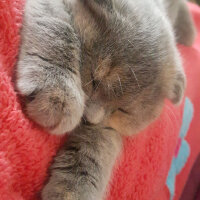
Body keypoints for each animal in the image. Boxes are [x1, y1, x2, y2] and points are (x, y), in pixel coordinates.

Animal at [15, 0, 195, 200]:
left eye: (122, 110)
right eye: (95, 80)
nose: (89, 118)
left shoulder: (109, 126)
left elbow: (98, 145)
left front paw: (74, 190)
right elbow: (59, 28)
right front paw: (58, 93)